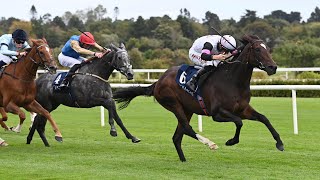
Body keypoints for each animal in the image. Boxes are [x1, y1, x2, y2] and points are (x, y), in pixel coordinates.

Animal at [114, 35, 284, 162]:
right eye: (257, 49)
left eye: (268, 49)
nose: (273, 67)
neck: (232, 81)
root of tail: (158, 82)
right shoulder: (217, 114)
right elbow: (239, 122)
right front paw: (231, 141)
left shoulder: (243, 109)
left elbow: (264, 118)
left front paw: (280, 143)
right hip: (174, 104)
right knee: (187, 128)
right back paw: (210, 144)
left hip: (187, 109)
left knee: (177, 136)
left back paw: (184, 160)